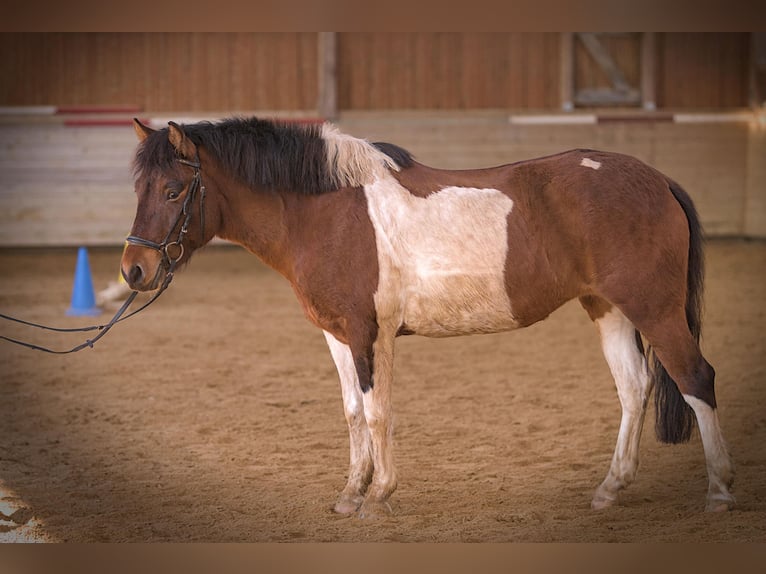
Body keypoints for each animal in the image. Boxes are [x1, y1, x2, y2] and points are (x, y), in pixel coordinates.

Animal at [123, 117, 736, 516]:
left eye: (173, 190)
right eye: (140, 188)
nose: (134, 269)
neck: (327, 210)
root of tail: (657, 180)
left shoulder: (370, 335)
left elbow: (378, 414)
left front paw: (379, 497)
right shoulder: (336, 336)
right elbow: (352, 413)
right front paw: (350, 494)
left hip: (654, 308)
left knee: (695, 379)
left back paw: (720, 492)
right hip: (608, 307)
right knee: (635, 388)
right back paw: (610, 489)